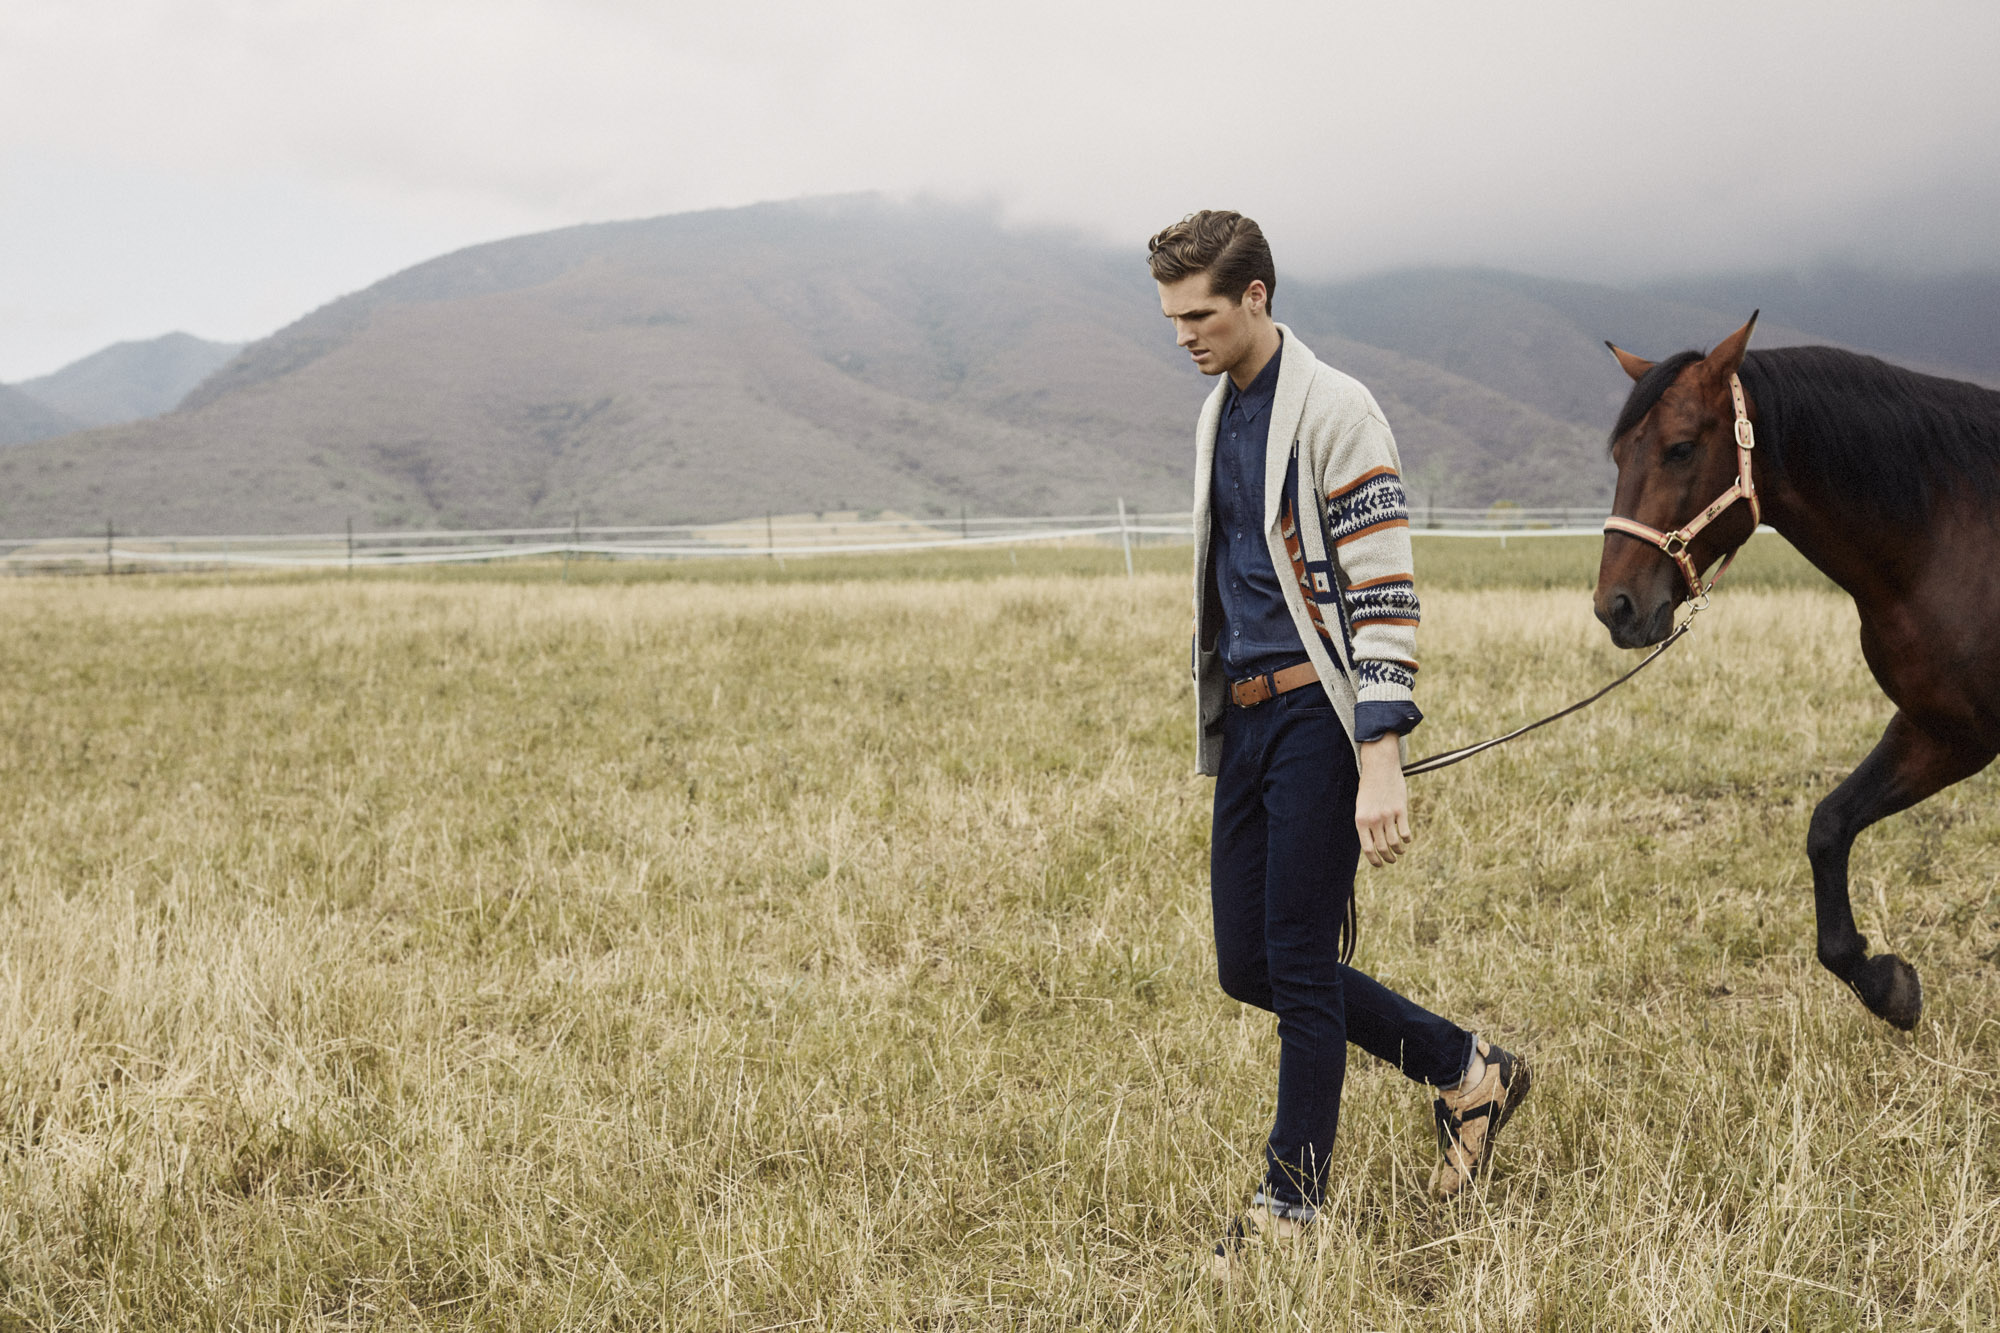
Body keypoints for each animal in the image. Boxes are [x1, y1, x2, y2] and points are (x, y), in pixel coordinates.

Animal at [1593, 313, 2000, 1030]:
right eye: (1619, 456)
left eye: (1679, 449)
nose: (1615, 606)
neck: (1951, 534)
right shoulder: (1944, 727)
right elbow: (1829, 826)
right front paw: (1886, 982)